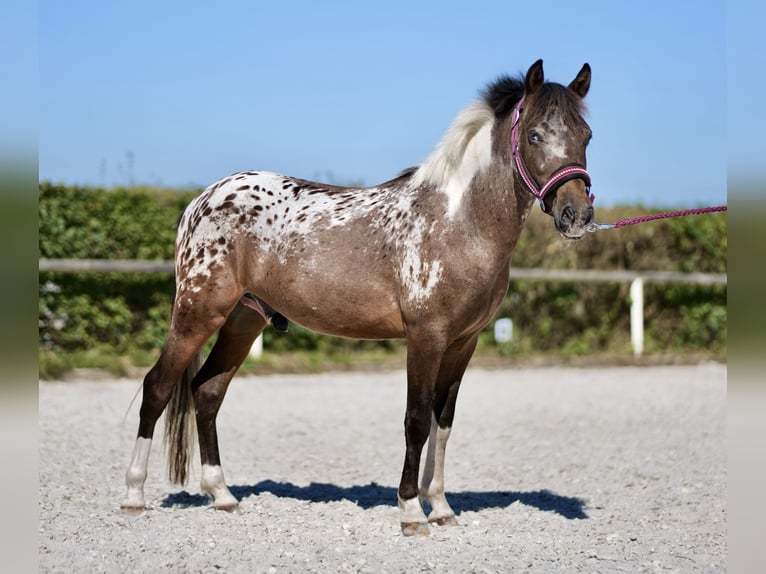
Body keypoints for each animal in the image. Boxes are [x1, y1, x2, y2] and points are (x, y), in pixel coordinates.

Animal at [123, 60, 596, 536]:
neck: (458, 223)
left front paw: (441, 506)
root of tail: (200, 201)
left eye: (587, 135)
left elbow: (442, 422)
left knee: (208, 392)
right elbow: (416, 420)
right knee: (157, 387)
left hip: (243, 320)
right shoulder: (426, 337)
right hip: (198, 312)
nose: (576, 215)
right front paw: (411, 511)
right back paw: (133, 495)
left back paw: (222, 495)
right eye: (534, 135)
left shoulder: (464, 342)